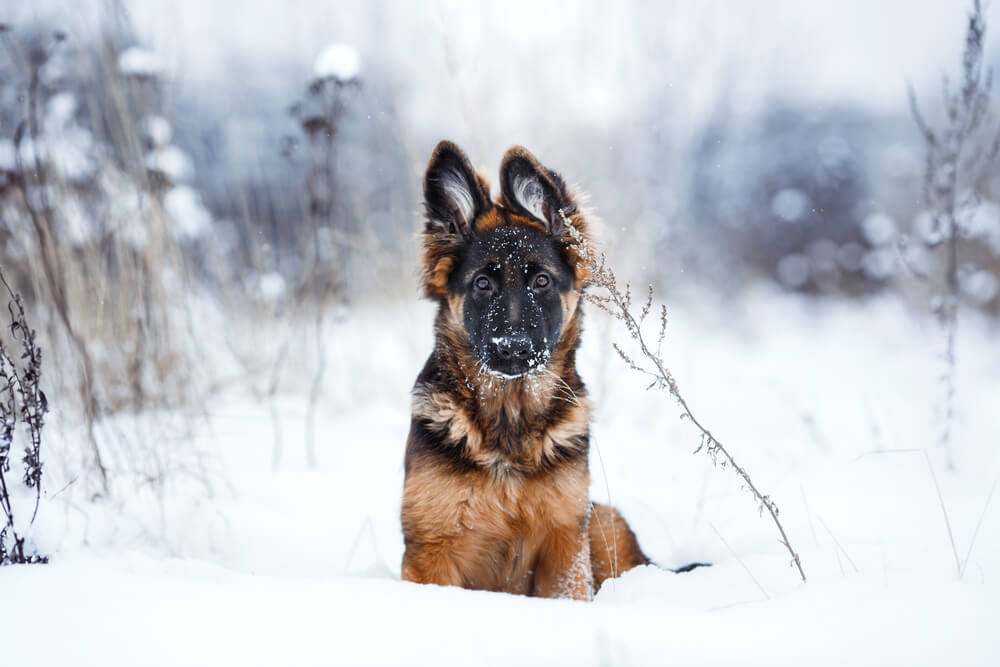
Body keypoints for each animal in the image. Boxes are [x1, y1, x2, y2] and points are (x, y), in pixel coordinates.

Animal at [400, 141, 648, 600]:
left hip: (603, 519)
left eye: (542, 282)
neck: (508, 427)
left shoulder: (565, 544)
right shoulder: (432, 548)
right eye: (482, 284)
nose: (513, 347)